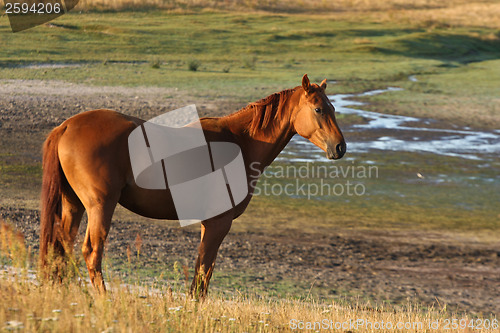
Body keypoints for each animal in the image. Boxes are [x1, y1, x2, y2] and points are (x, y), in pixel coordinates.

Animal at [39, 74, 346, 294]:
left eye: (333, 107)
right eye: (319, 109)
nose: (340, 147)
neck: (241, 142)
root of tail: (67, 126)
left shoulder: (206, 225)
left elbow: (200, 273)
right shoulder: (219, 224)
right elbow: (203, 276)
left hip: (73, 205)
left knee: (61, 247)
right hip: (100, 206)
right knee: (91, 253)